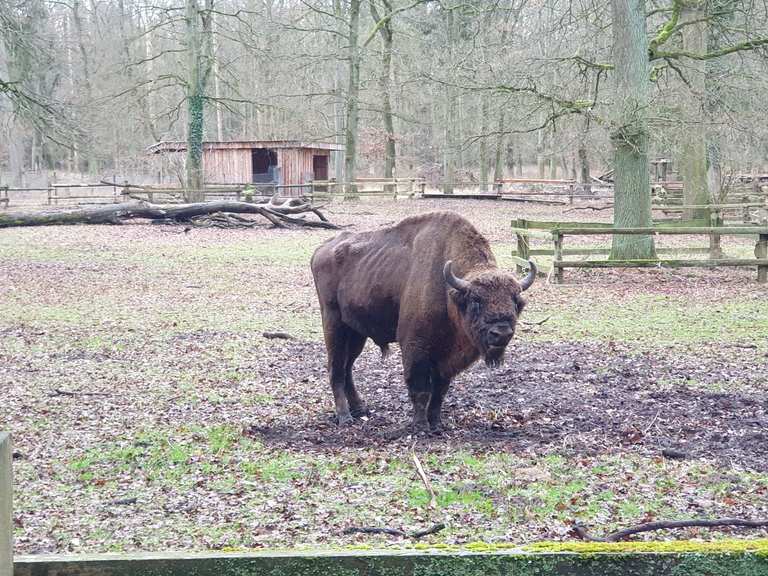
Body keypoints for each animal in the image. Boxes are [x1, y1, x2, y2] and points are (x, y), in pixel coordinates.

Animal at [310, 212, 536, 432]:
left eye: (516, 301)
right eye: (476, 300)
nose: (502, 333)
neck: (448, 292)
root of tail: (320, 250)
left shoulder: (445, 357)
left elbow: (440, 391)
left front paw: (436, 424)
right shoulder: (415, 347)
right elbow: (420, 389)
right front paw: (420, 426)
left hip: (356, 332)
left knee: (347, 367)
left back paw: (360, 409)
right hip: (333, 323)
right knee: (336, 369)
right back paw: (345, 417)